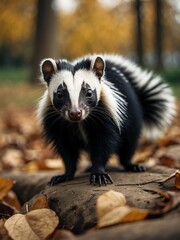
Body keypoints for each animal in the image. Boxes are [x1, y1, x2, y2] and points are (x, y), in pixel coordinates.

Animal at [38, 54, 176, 186]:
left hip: (132, 116)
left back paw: (132, 165)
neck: (79, 123)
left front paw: (98, 174)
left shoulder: (106, 115)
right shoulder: (57, 123)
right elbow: (66, 149)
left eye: (89, 93)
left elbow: (103, 142)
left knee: (129, 143)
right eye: (59, 94)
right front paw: (65, 175)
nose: (75, 113)